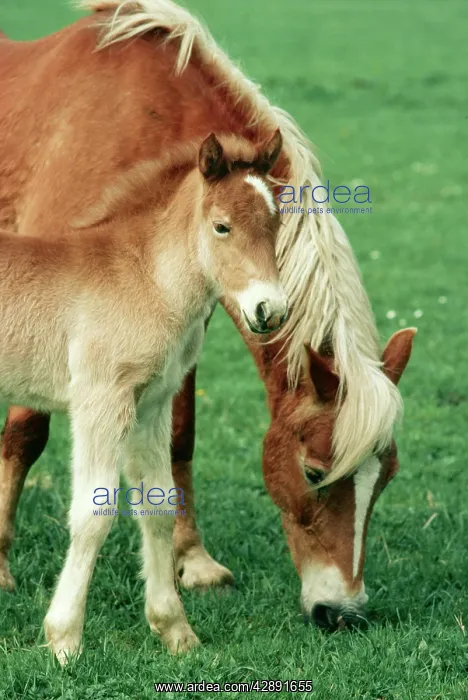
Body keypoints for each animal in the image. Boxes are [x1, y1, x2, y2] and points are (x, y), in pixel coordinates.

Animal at [0, 131, 288, 662]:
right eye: (221, 226)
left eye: (277, 222)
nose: (269, 311)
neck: (145, 277)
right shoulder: (101, 400)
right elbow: (92, 513)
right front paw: (63, 639)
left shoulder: (152, 404)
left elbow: (158, 505)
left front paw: (175, 629)